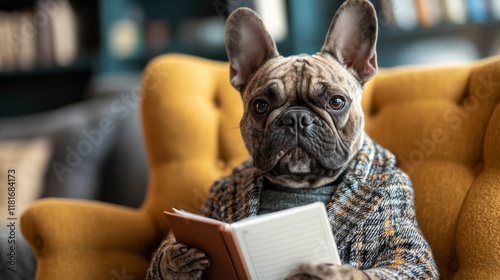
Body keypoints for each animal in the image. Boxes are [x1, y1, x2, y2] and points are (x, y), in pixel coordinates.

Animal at [146, 1, 438, 278]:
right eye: (260, 105)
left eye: (337, 102)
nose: (296, 118)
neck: (300, 185)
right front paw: (176, 261)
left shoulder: (407, 247)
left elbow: (399, 261)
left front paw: (323, 273)